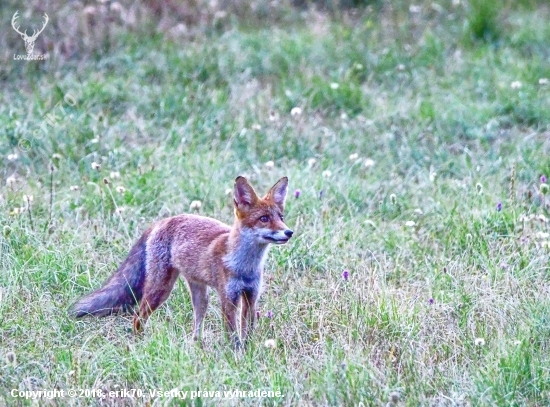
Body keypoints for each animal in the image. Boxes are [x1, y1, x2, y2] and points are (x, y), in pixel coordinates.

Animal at [70, 176, 294, 348]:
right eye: (264, 219)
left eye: (281, 217)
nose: (289, 232)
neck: (244, 267)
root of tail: (163, 221)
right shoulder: (228, 298)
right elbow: (233, 336)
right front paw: (237, 356)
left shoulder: (251, 296)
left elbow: (248, 333)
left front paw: (249, 353)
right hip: (160, 290)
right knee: (137, 317)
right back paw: (141, 344)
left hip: (200, 295)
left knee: (196, 324)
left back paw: (197, 344)